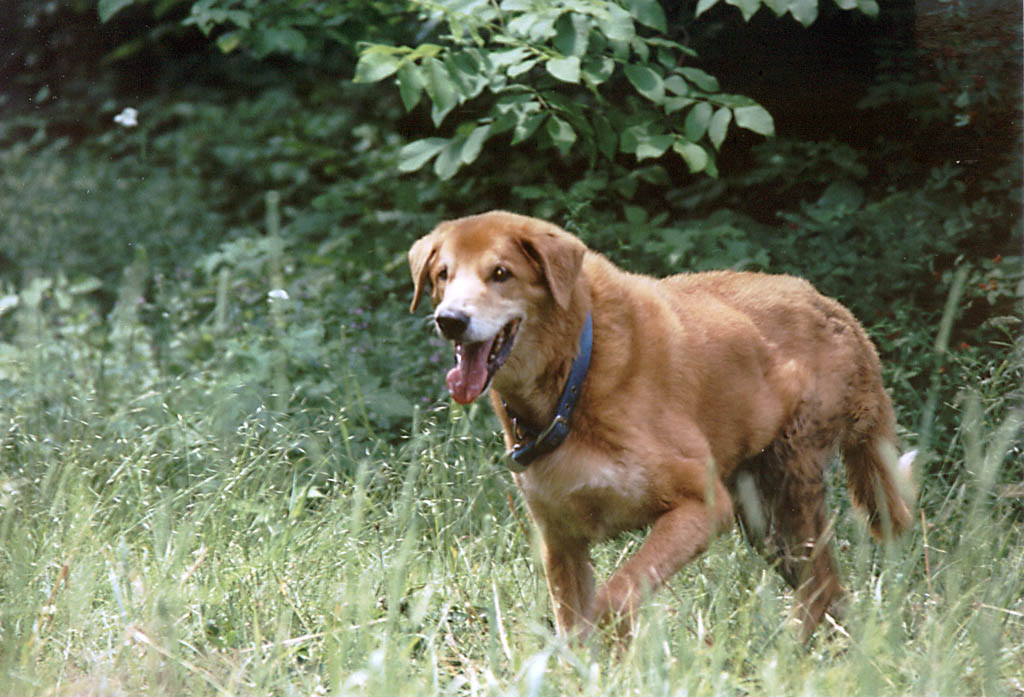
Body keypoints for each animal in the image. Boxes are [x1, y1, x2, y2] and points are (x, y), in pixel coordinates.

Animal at [405, 209, 913, 638]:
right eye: (443, 275)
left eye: (501, 273)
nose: (450, 320)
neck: (575, 377)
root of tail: (841, 314)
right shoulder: (560, 540)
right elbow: (573, 628)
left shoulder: (701, 506)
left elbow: (613, 599)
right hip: (763, 523)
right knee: (831, 595)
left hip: (788, 490)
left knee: (823, 589)